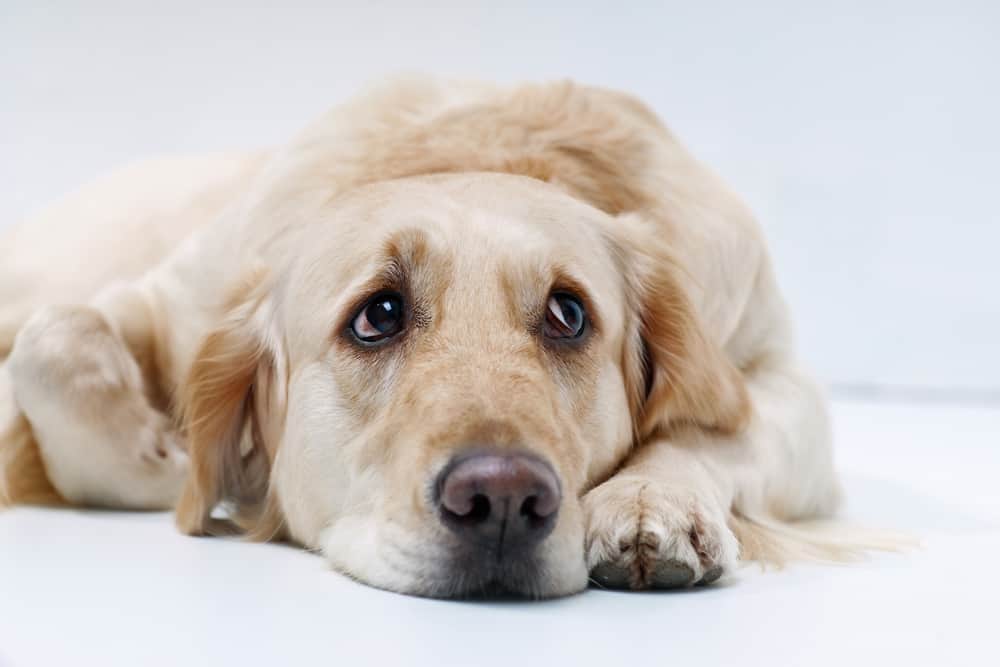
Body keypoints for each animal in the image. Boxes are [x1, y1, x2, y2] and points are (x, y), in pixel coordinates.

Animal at [3, 78, 856, 600]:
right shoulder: (168, 300)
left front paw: (650, 495)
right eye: (377, 315)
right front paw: (163, 459)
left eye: (569, 314)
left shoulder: (781, 380)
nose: (504, 499)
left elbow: (709, 431)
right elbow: (52, 343)